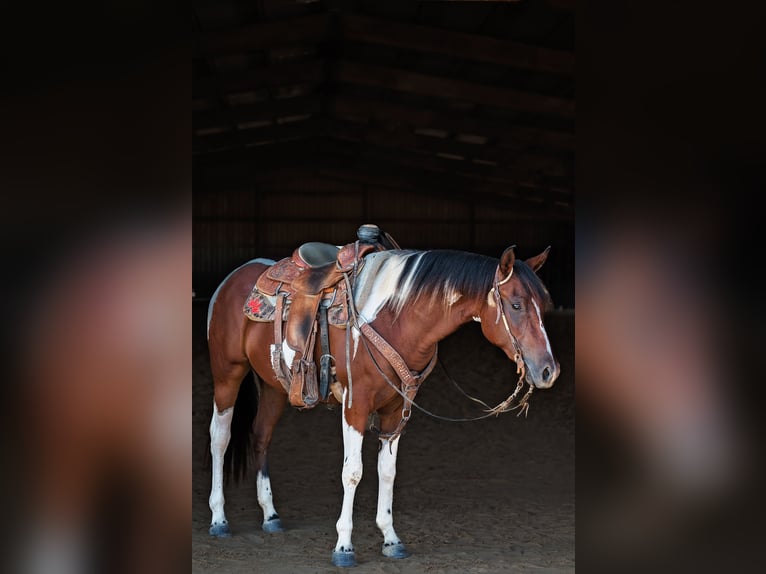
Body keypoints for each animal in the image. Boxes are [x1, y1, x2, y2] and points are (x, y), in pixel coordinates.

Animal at [205, 235, 560, 567]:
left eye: (544, 306)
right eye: (516, 305)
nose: (548, 370)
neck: (396, 317)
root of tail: (233, 278)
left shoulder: (396, 410)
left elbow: (387, 472)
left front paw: (391, 539)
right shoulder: (355, 406)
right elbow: (353, 472)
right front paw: (344, 547)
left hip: (274, 387)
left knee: (261, 436)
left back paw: (270, 515)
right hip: (227, 375)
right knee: (220, 438)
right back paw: (219, 519)